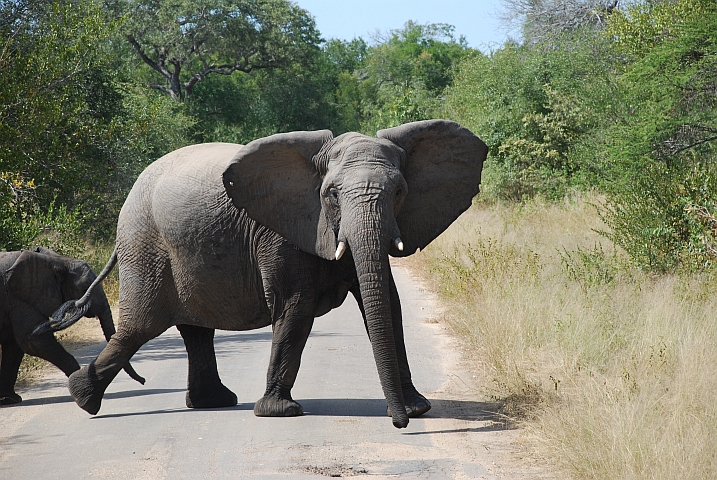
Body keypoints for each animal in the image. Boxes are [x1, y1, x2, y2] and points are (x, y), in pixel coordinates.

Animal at [0, 246, 144, 404]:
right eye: (86, 287)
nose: (143, 381)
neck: (56, 261)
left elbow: (15, 347)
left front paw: (10, 399)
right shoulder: (19, 297)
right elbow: (33, 340)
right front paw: (81, 388)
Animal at [53, 119, 484, 428]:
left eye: (398, 192)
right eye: (331, 194)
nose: (399, 424)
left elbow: (386, 304)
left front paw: (419, 408)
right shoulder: (284, 230)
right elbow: (296, 306)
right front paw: (279, 411)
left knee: (194, 329)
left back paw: (212, 403)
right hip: (145, 244)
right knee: (140, 327)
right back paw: (83, 397)